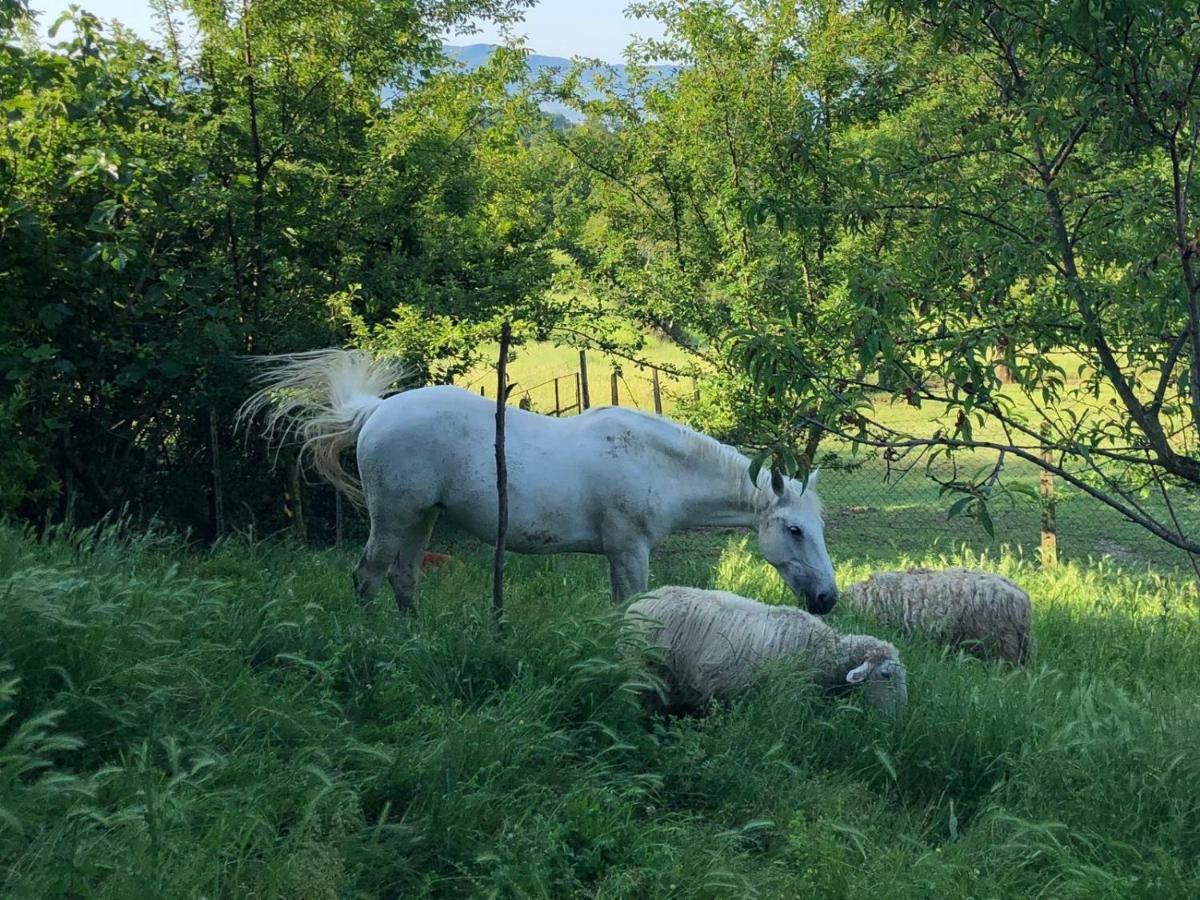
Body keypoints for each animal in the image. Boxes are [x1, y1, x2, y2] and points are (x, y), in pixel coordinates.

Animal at [240, 348, 840, 619]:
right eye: (794, 530)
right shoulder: (629, 551)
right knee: (368, 577)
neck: (656, 463)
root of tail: (375, 412)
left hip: (421, 518)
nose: (828, 599)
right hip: (393, 517)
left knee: (403, 578)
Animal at [624, 588, 902, 715]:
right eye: (886, 675)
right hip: (648, 672)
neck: (828, 650)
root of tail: (637, 605)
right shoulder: (787, 692)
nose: (896, 719)